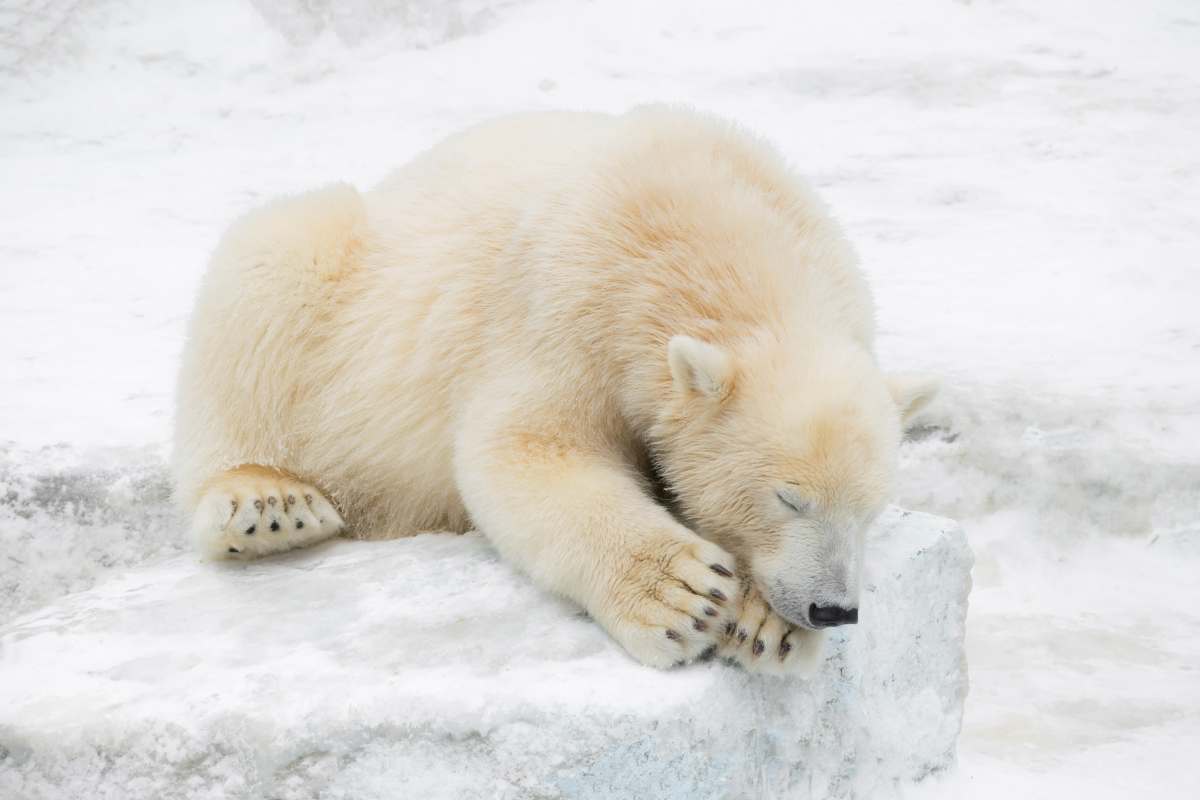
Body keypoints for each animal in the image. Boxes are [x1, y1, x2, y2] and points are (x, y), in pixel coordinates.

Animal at [171, 104, 936, 671]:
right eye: (788, 498)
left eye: (871, 510)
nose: (834, 609)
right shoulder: (569, 302)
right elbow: (527, 447)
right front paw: (683, 595)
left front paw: (766, 627)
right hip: (337, 290)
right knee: (265, 271)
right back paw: (268, 503)